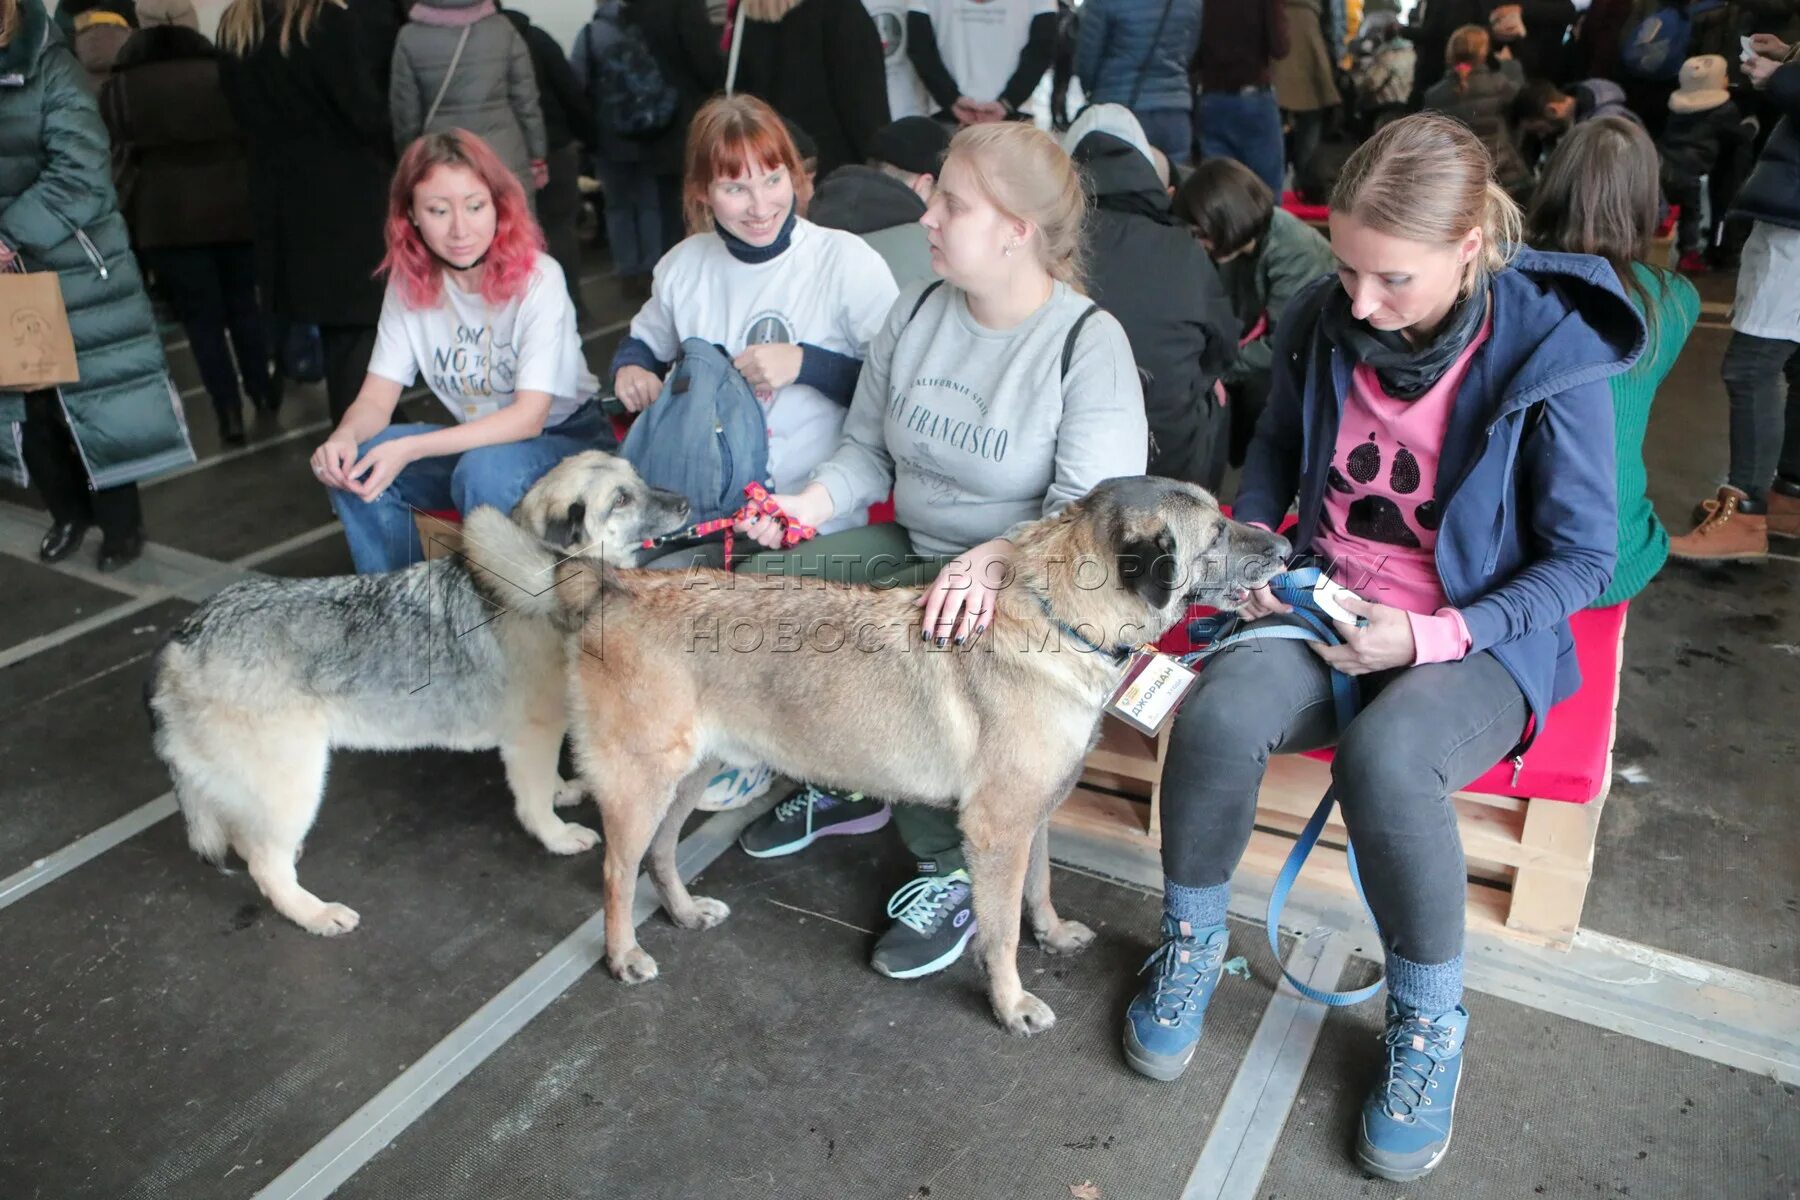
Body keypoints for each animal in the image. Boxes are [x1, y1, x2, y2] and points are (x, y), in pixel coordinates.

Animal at [554, 474, 1288, 1036]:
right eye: (1216, 534)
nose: (1286, 546)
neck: (1057, 618)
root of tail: (626, 586)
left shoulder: (1035, 818)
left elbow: (1041, 887)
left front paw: (1052, 934)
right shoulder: (997, 832)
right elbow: (1001, 929)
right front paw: (1010, 1003)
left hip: (684, 777)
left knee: (659, 855)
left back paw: (682, 911)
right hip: (641, 784)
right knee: (617, 872)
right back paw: (623, 955)